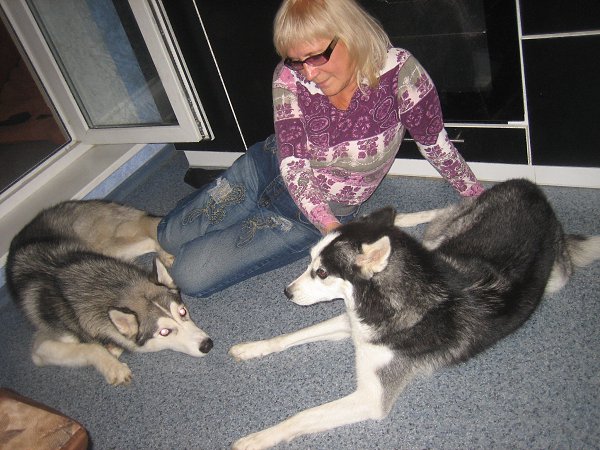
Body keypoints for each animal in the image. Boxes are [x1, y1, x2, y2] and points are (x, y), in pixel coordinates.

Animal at [5, 200, 213, 386]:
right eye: (164, 332)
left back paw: (164, 255)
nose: (207, 344)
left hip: (109, 249)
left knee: (151, 238)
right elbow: (91, 348)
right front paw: (114, 367)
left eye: (183, 311)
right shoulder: (42, 346)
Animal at [229, 179, 600, 449]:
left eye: (321, 272)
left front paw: (257, 438)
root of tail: (529, 185)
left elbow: (303, 416)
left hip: (556, 277)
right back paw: (400, 218)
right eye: (309, 262)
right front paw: (251, 348)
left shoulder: (372, 396)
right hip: (444, 241)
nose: (287, 292)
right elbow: (291, 336)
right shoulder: (353, 324)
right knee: (433, 221)